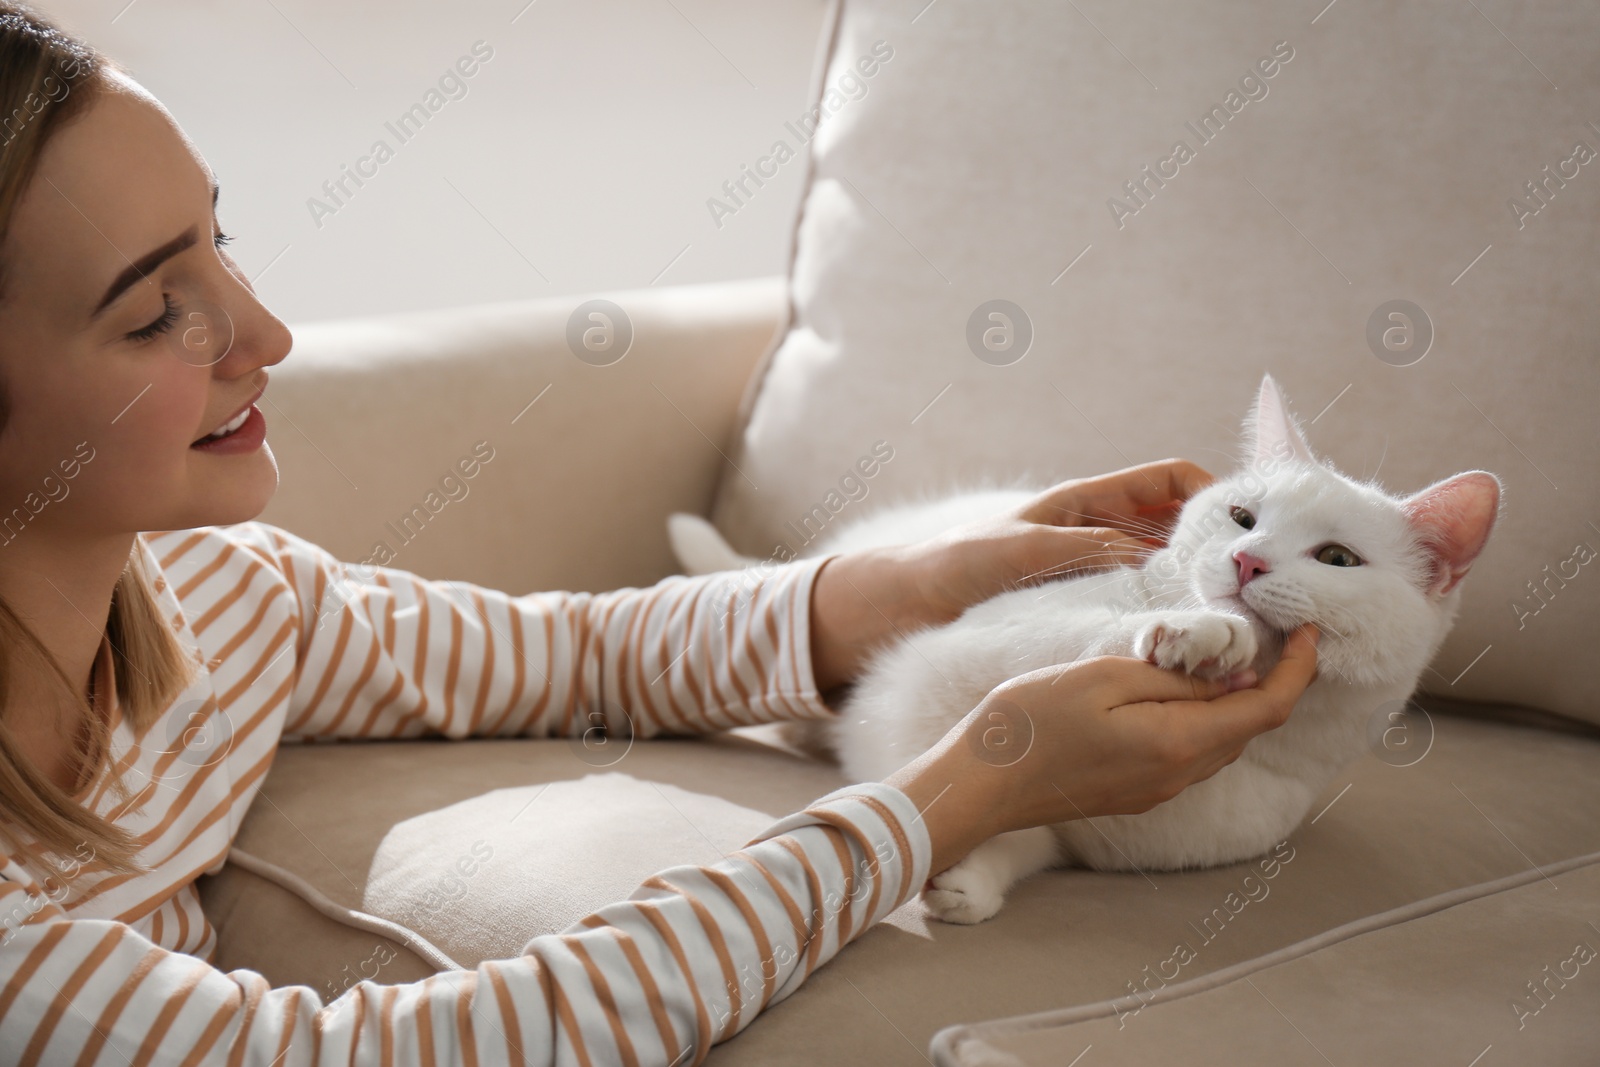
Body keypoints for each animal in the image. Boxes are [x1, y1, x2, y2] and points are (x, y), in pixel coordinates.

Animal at [668, 377, 1504, 927]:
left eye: (1337, 558)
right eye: (1242, 516)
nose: (1247, 562)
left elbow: (1017, 828)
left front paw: (972, 877)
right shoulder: (937, 665)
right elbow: (1066, 649)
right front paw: (1200, 632)